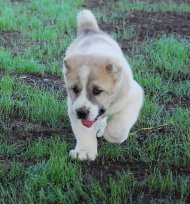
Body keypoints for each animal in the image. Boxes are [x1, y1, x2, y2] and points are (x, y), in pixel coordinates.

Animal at [63, 9, 143, 161]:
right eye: (74, 89)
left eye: (97, 91)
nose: (81, 112)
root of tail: (90, 31)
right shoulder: (73, 106)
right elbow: (83, 131)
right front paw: (84, 151)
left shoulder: (133, 96)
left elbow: (119, 126)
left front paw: (109, 134)